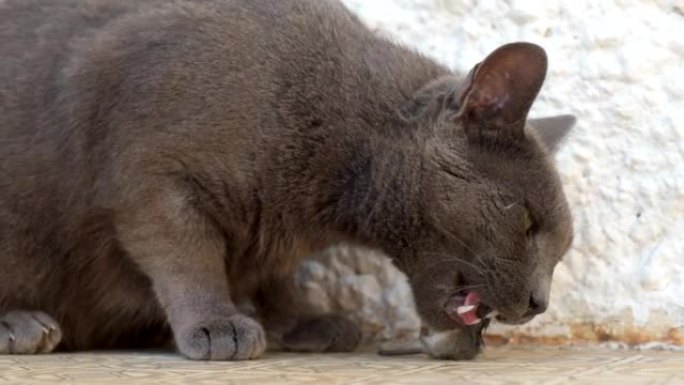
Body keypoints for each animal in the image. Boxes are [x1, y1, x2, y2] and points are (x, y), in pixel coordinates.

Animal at [1, 0, 572, 360]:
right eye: (525, 221)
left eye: (561, 251)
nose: (539, 303)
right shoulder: (153, 177)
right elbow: (187, 255)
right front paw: (216, 322)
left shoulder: (275, 227)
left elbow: (276, 273)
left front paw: (302, 320)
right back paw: (19, 324)